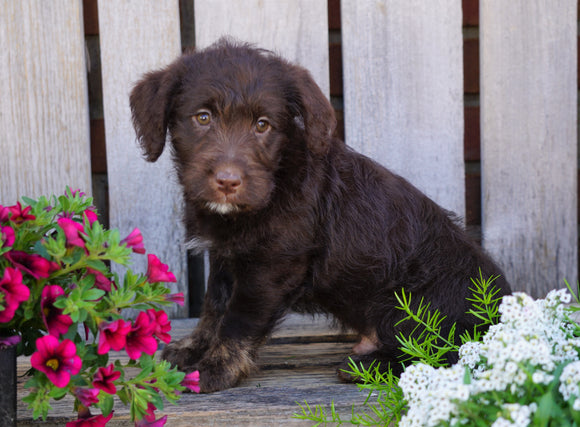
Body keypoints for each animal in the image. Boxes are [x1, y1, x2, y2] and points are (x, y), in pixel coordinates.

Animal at [129, 40, 510, 394]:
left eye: (262, 125)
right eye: (202, 117)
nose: (227, 182)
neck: (278, 178)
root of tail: (498, 316)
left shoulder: (269, 269)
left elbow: (237, 319)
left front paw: (216, 369)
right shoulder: (226, 257)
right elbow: (213, 306)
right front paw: (193, 347)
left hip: (413, 307)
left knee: (439, 352)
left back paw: (369, 365)